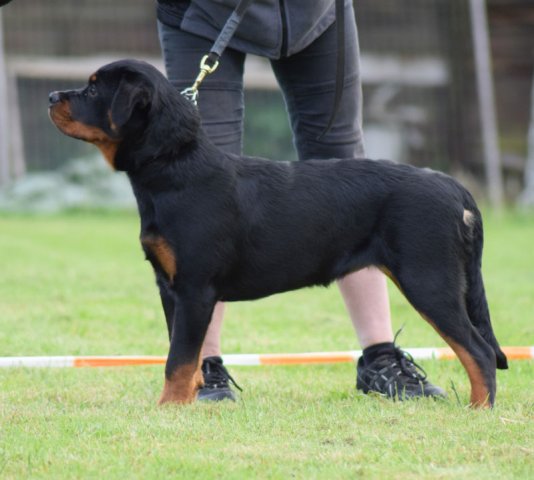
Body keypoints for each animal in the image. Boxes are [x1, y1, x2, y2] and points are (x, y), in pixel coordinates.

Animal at [50, 59, 510, 404]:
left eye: (92, 91)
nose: (52, 97)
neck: (173, 164)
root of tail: (454, 187)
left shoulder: (195, 288)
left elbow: (178, 359)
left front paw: (169, 408)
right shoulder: (170, 288)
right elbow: (187, 354)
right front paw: (194, 399)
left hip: (428, 278)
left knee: (479, 351)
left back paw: (478, 409)